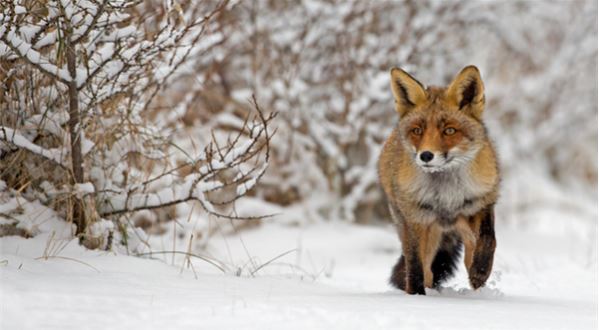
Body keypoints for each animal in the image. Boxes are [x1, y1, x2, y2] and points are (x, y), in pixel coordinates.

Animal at [380, 65, 502, 296]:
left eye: (449, 130)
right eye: (417, 130)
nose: (426, 156)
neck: (446, 195)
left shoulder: (480, 203)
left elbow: (489, 239)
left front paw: (481, 271)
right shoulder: (416, 219)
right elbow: (415, 267)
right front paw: (416, 296)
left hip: (462, 226)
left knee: (469, 252)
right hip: (422, 231)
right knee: (426, 270)